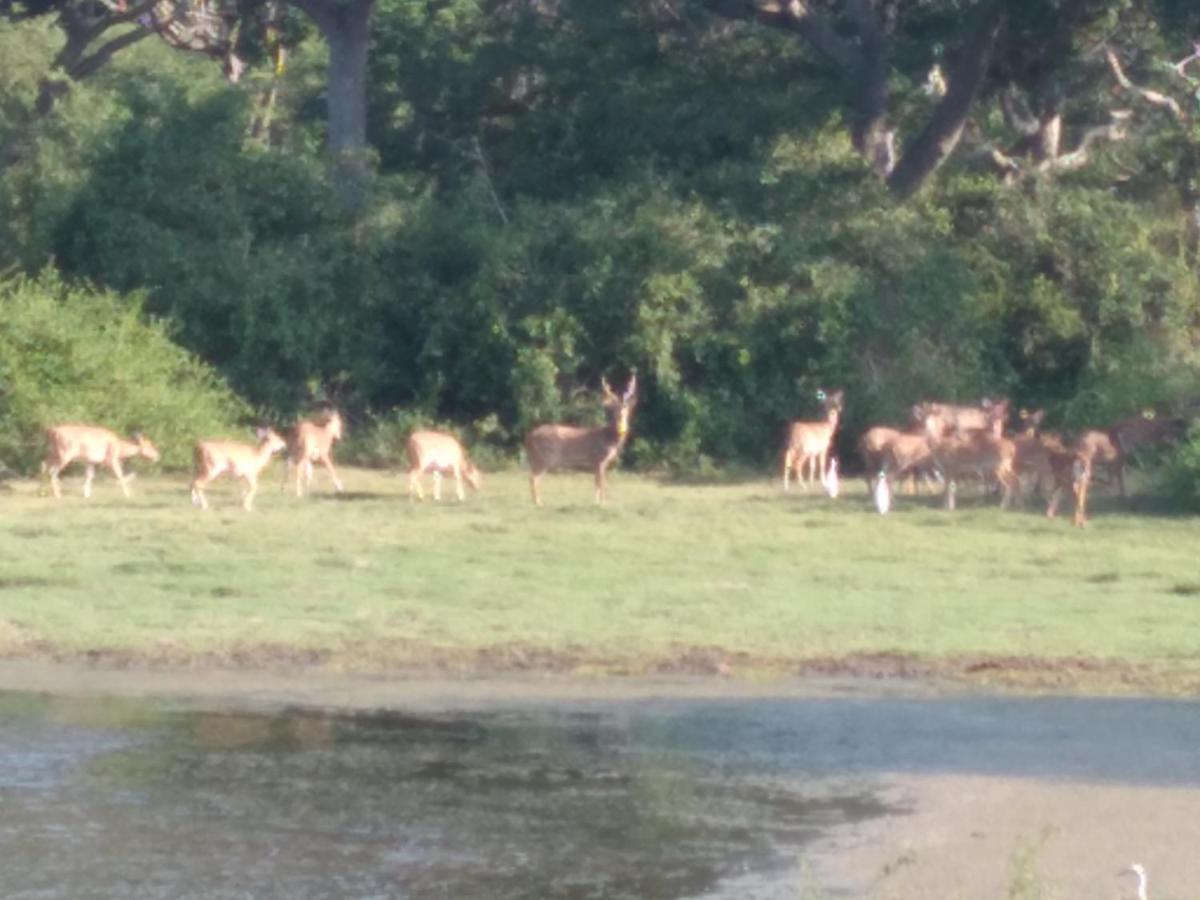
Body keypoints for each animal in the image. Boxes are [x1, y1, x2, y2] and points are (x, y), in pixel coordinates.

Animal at [525, 372, 638, 508]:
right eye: (614, 409)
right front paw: (602, 504)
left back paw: (537, 502)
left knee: (533, 477)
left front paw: (597, 502)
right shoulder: (598, 459)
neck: (609, 438)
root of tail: (528, 438)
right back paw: (538, 503)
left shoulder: (598, 462)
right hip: (544, 457)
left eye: (626, 409)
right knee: (533, 478)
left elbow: (597, 483)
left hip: (536, 459)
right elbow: (601, 483)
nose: (621, 420)